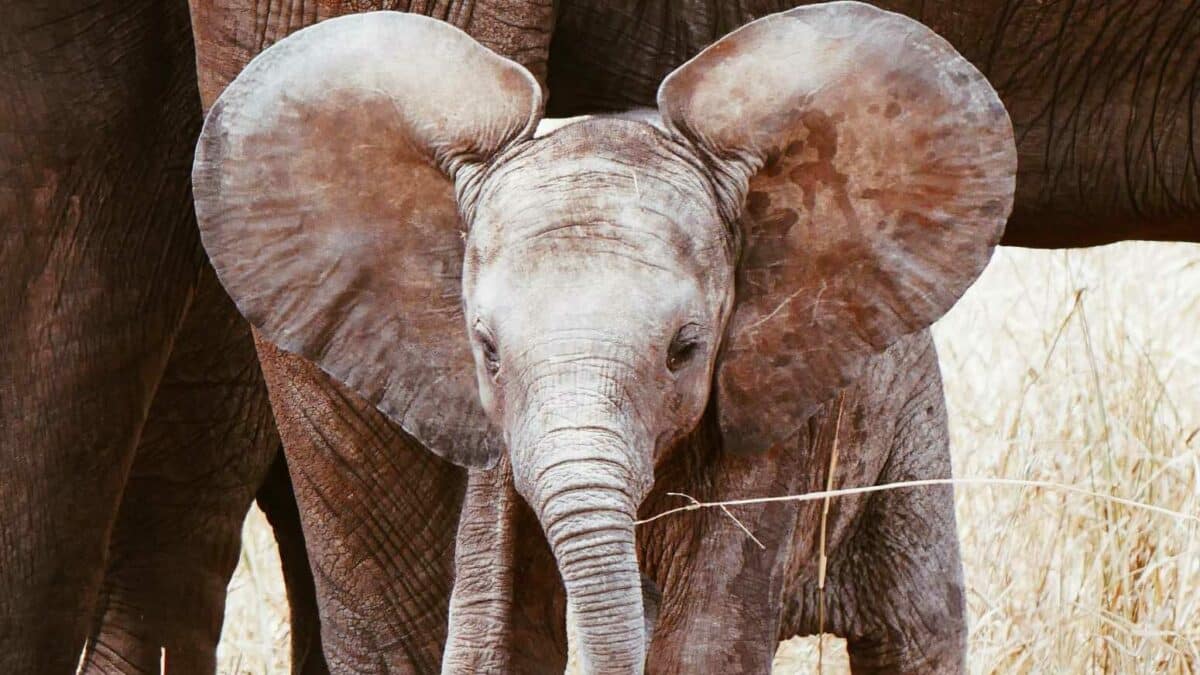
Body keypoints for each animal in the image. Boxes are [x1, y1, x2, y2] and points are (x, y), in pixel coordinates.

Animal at [193, 5, 1017, 673]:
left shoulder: (771, 418)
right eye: (487, 351)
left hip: (905, 422)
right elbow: (491, 640)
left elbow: (703, 642)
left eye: (685, 350)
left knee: (917, 628)